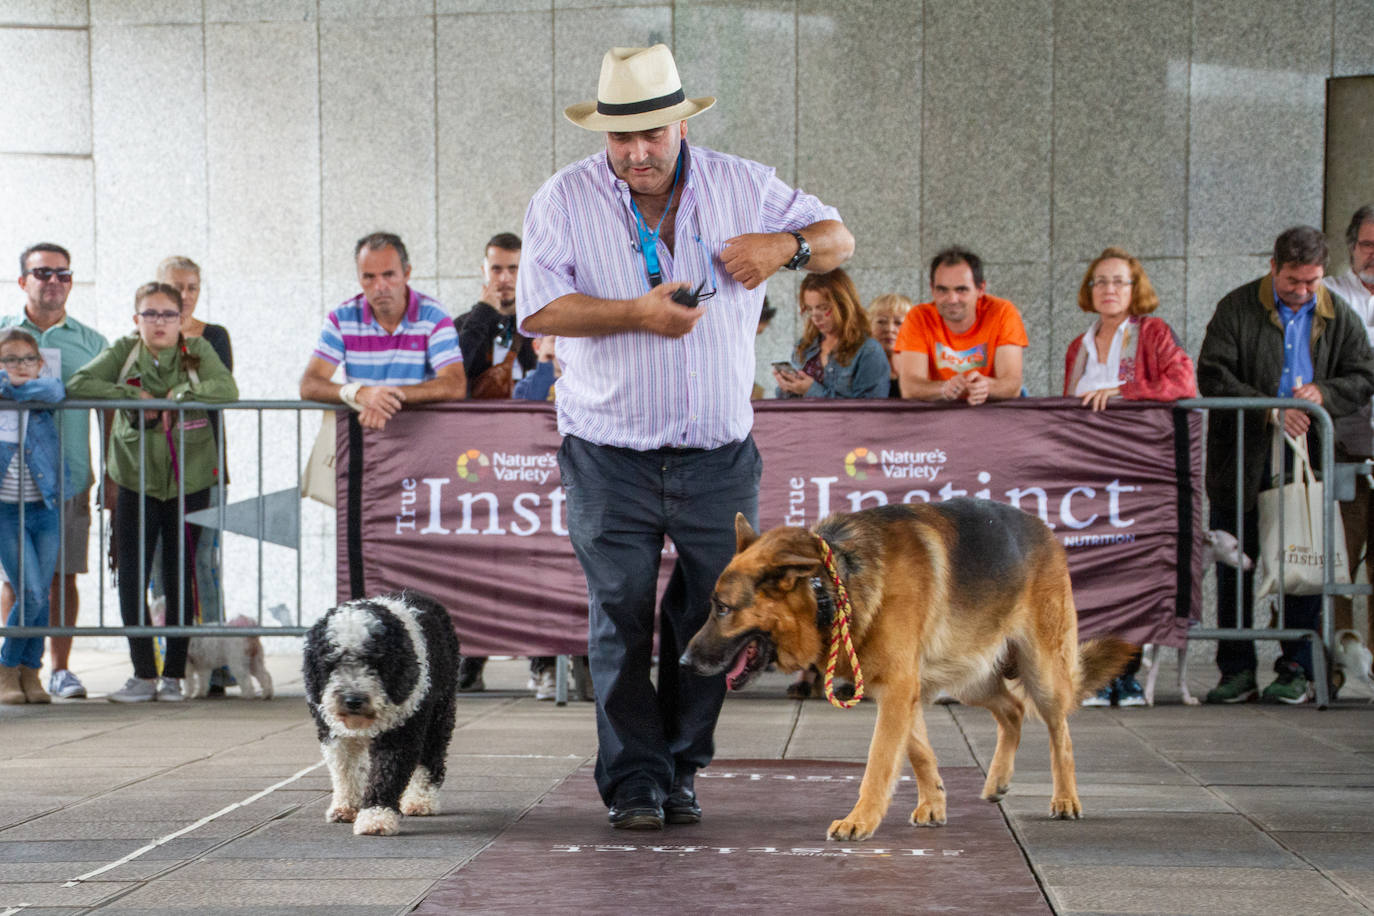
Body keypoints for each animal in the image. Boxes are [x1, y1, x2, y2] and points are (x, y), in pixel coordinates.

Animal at [302, 590, 461, 834]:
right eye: (331, 662)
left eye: (376, 661)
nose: (353, 700)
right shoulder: (333, 734)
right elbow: (345, 770)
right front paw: (345, 807)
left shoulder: (402, 730)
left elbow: (386, 775)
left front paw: (375, 817)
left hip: (440, 710)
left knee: (430, 758)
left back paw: (421, 800)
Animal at [681, 497, 1132, 840]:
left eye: (723, 609)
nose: (683, 662)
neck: (831, 590)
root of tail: (1044, 527)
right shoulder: (896, 687)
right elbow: (916, 749)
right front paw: (934, 801)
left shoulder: (898, 686)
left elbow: (881, 759)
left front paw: (860, 820)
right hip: (969, 674)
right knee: (1013, 710)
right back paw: (998, 779)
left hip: (1042, 672)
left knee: (1060, 731)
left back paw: (1066, 798)